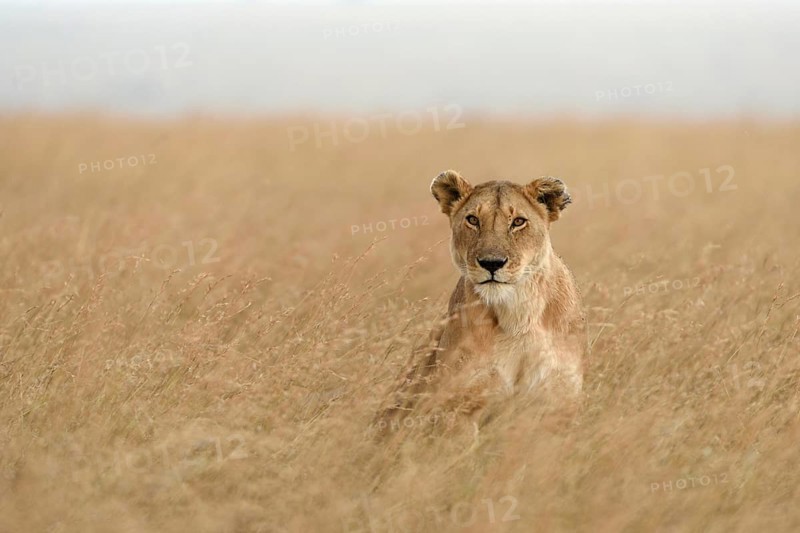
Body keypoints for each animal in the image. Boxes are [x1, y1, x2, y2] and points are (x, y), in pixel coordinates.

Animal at [377, 170, 586, 432]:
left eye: (518, 222)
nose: (492, 263)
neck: (517, 315)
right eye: (473, 220)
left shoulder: (558, 401)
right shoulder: (460, 404)